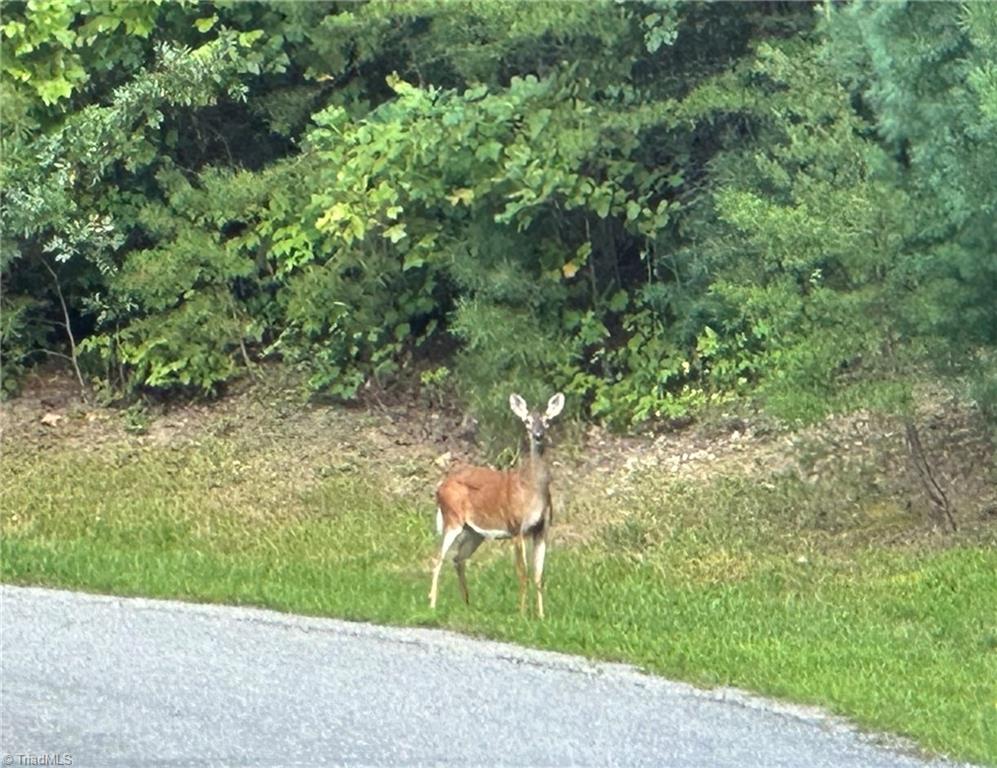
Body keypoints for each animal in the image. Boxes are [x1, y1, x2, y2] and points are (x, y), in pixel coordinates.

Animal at [428, 392, 564, 620]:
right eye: (527, 421)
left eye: (547, 421)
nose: (538, 435)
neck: (531, 490)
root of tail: (441, 487)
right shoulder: (516, 527)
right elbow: (522, 573)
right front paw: (522, 614)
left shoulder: (542, 530)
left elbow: (538, 575)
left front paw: (542, 616)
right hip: (452, 519)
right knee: (438, 558)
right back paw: (432, 604)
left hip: (474, 532)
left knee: (457, 558)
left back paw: (467, 604)